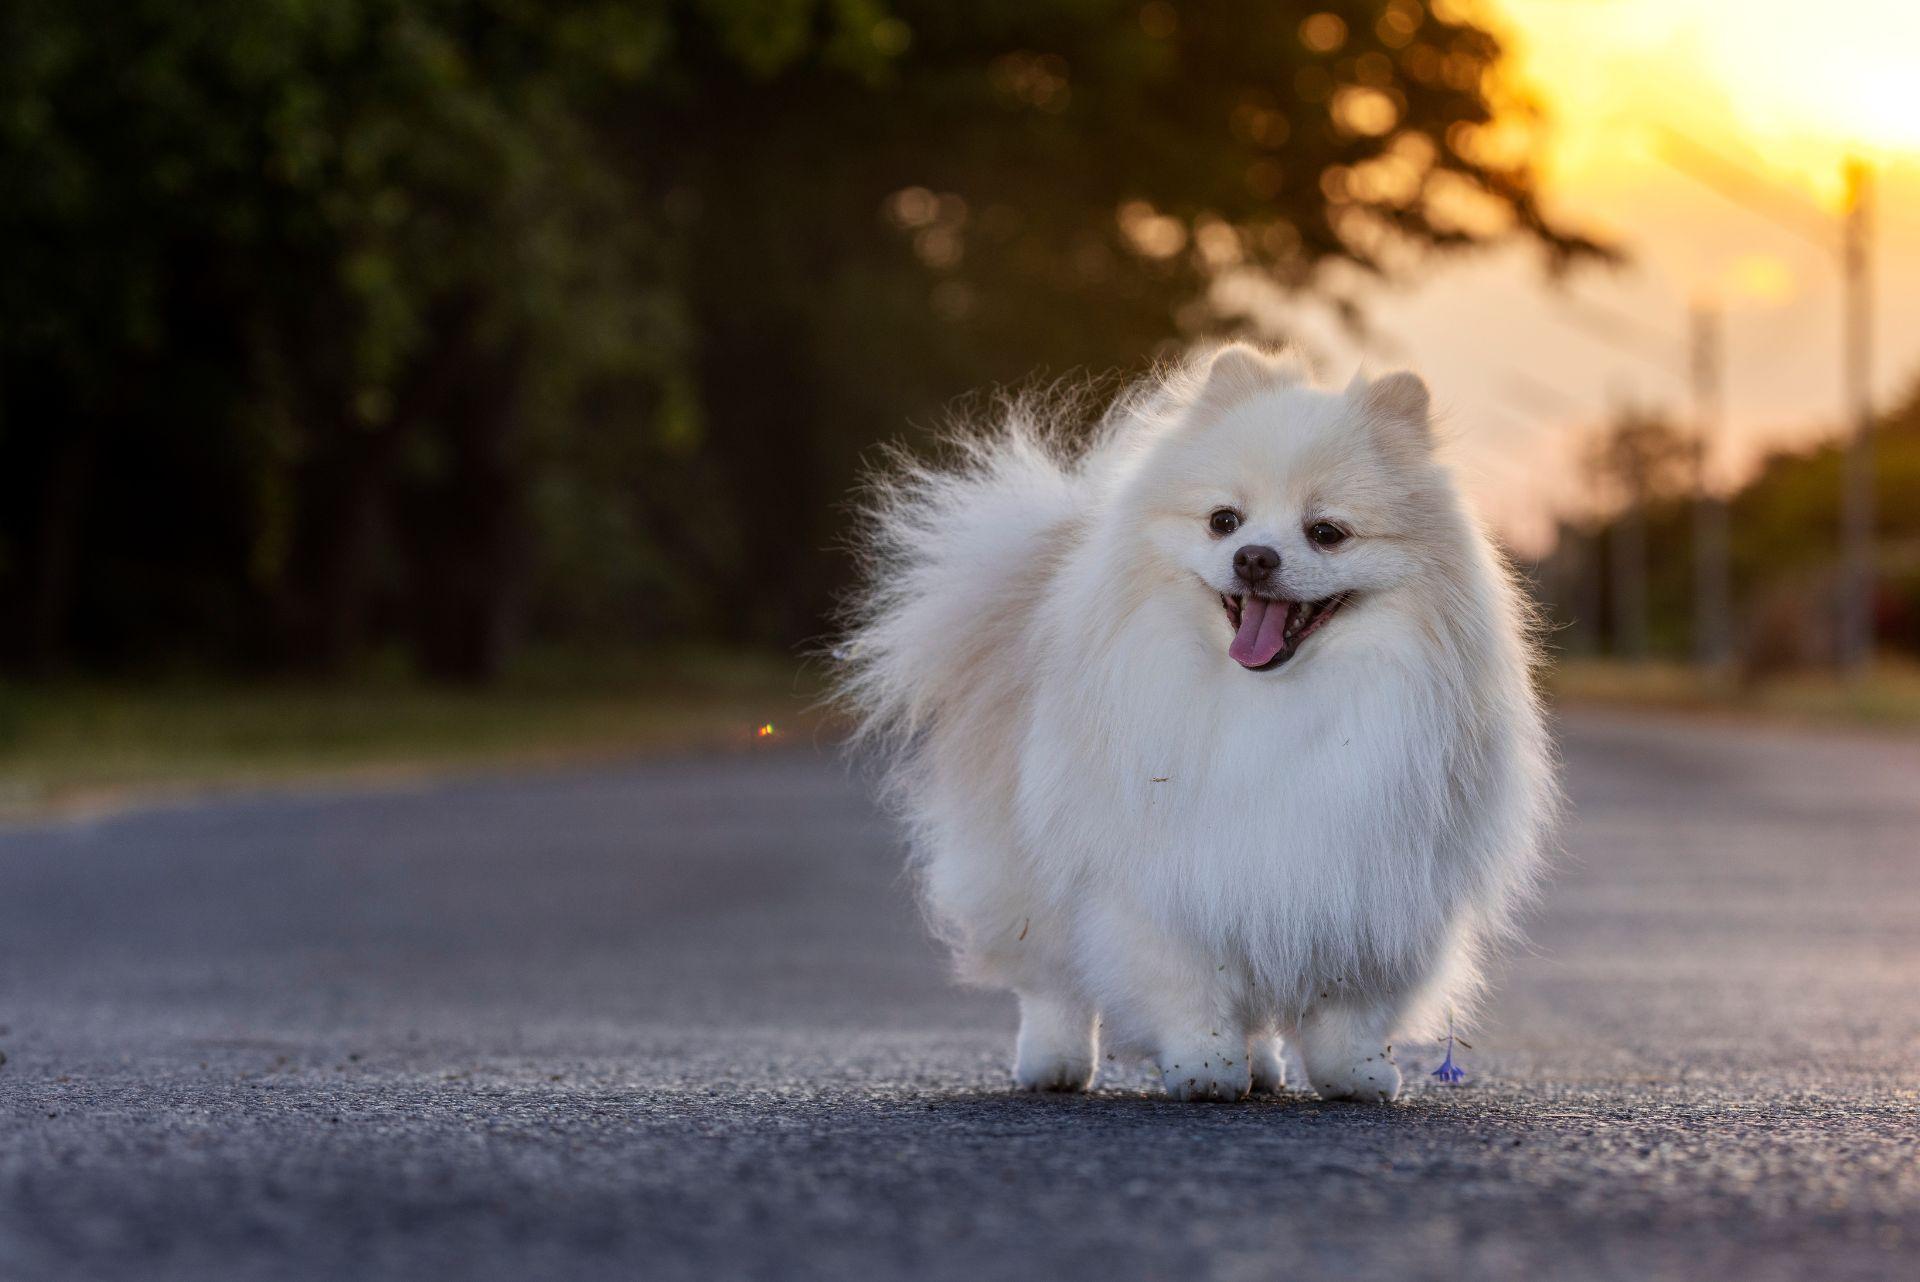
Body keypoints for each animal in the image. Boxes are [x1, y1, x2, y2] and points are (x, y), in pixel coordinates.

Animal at [837, 343, 1543, 1105]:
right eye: (1223, 521)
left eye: (1326, 533)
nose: (1255, 557)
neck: (1275, 703)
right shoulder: (1163, 876)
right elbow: (1188, 983)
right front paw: (1204, 1065)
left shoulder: (1366, 878)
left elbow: (1349, 1003)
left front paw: (1355, 1072)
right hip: (1020, 870)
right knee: (1050, 980)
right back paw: (1055, 1062)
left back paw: (1264, 1068)